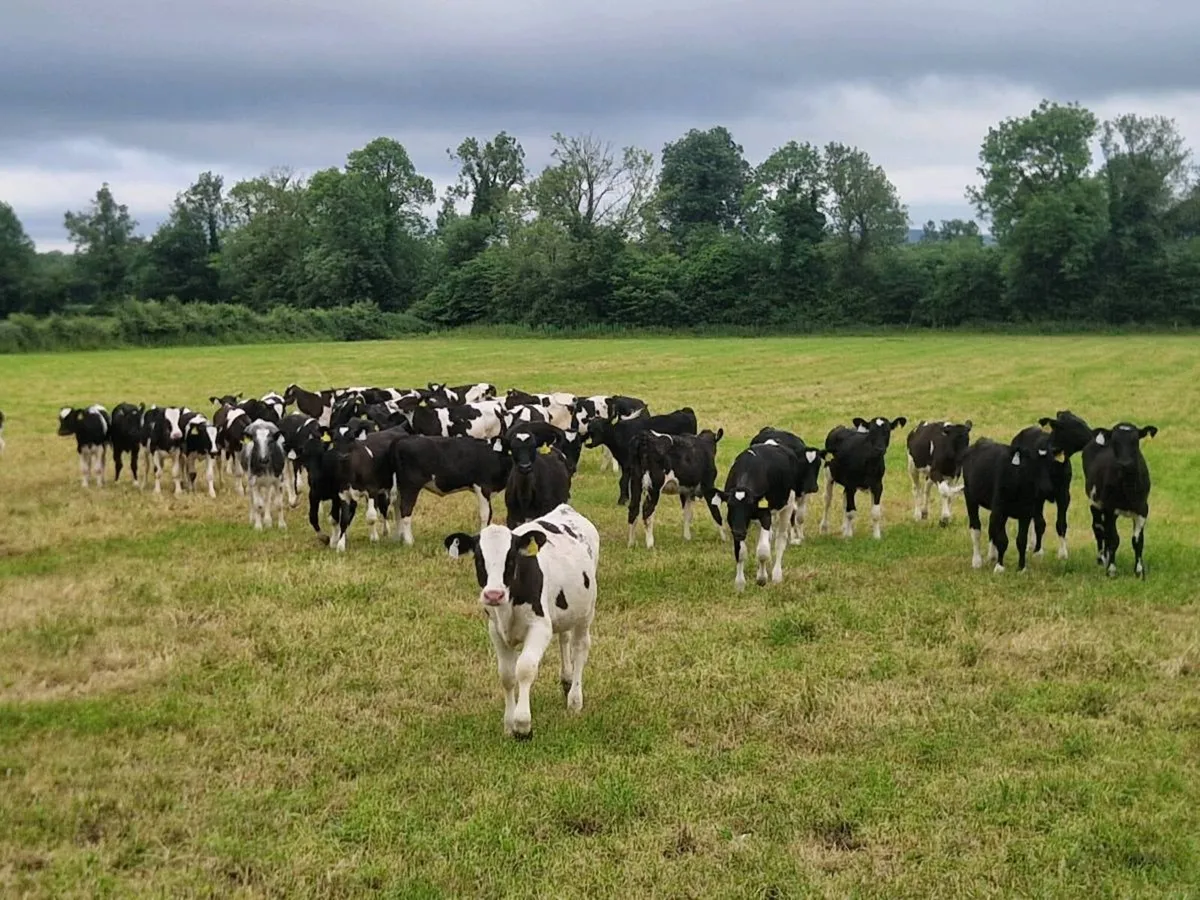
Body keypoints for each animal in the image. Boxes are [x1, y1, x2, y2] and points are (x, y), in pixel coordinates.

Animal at [443, 503, 600, 740]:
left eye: (510, 560)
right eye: (479, 559)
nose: (493, 594)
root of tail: (565, 509)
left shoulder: (540, 627)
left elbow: (524, 668)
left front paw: (523, 725)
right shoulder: (496, 631)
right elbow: (507, 675)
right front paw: (508, 724)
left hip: (586, 612)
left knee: (580, 648)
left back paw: (574, 699)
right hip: (564, 612)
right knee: (564, 638)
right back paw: (566, 679)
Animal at [718, 444, 800, 591]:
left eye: (749, 506)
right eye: (730, 506)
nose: (739, 532)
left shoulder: (765, 514)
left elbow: (763, 552)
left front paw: (762, 578)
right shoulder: (735, 523)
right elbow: (740, 552)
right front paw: (740, 583)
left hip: (788, 504)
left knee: (780, 540)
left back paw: (777, 575)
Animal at [960, 432, 1056, 573]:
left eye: (1051, 464)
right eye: (1031, 463)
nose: (1047, 488)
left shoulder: (1025, 513)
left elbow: (1021, 540)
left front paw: (1021, 568)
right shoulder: (1000, 511)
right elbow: (1002, 540)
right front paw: (1000, 567)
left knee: (991, 527)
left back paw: (992, 556)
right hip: (970, 497)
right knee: (976, 528)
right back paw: (977, 561)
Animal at [1013, 410, 1094, 561]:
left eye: (1083, 421)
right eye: (1076, 426)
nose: (1093, 437)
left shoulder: (1064, 494)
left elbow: (1061, 524)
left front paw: (1063, 553)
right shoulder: (1038, 496)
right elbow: (1040, 523)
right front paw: (1038, 551)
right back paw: (1031, 545)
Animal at [1083, 423, 1158, 579]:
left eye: (1135, 441)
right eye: (1115, 442)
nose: (1125, 463)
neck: (1127, 486)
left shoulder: (1143, 509)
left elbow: (1137, 541)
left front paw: (1139, 571)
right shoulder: (1109, 509)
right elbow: (1113, 539)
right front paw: (1111, 570)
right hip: (1095, 504)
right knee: (1099, 529)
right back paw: (1101, 559)